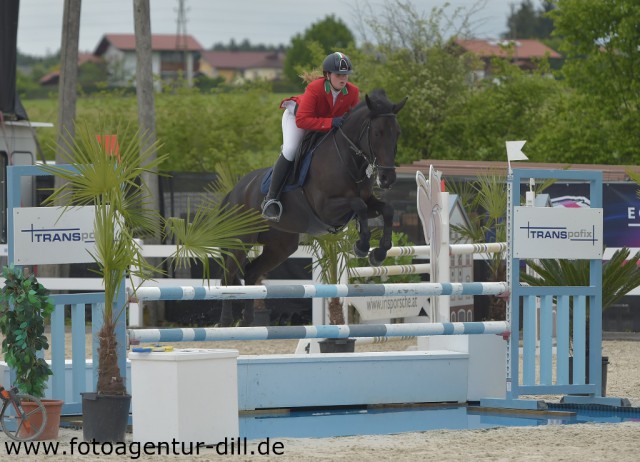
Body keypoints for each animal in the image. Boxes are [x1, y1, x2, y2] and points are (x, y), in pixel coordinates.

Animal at [219, 88, 404, 326]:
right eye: (378, 133)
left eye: (397, 133)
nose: (387, 178)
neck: (347, 159)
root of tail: (235, 191)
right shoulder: (326, 208)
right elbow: (359, 205)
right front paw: (362, 246)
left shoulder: (367, 202)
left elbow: (386, 209)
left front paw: (379, 253)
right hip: (241, 240)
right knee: (227, 275)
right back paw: (225, 322)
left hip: (281, 246)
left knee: (250, 273)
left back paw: (248, 322)